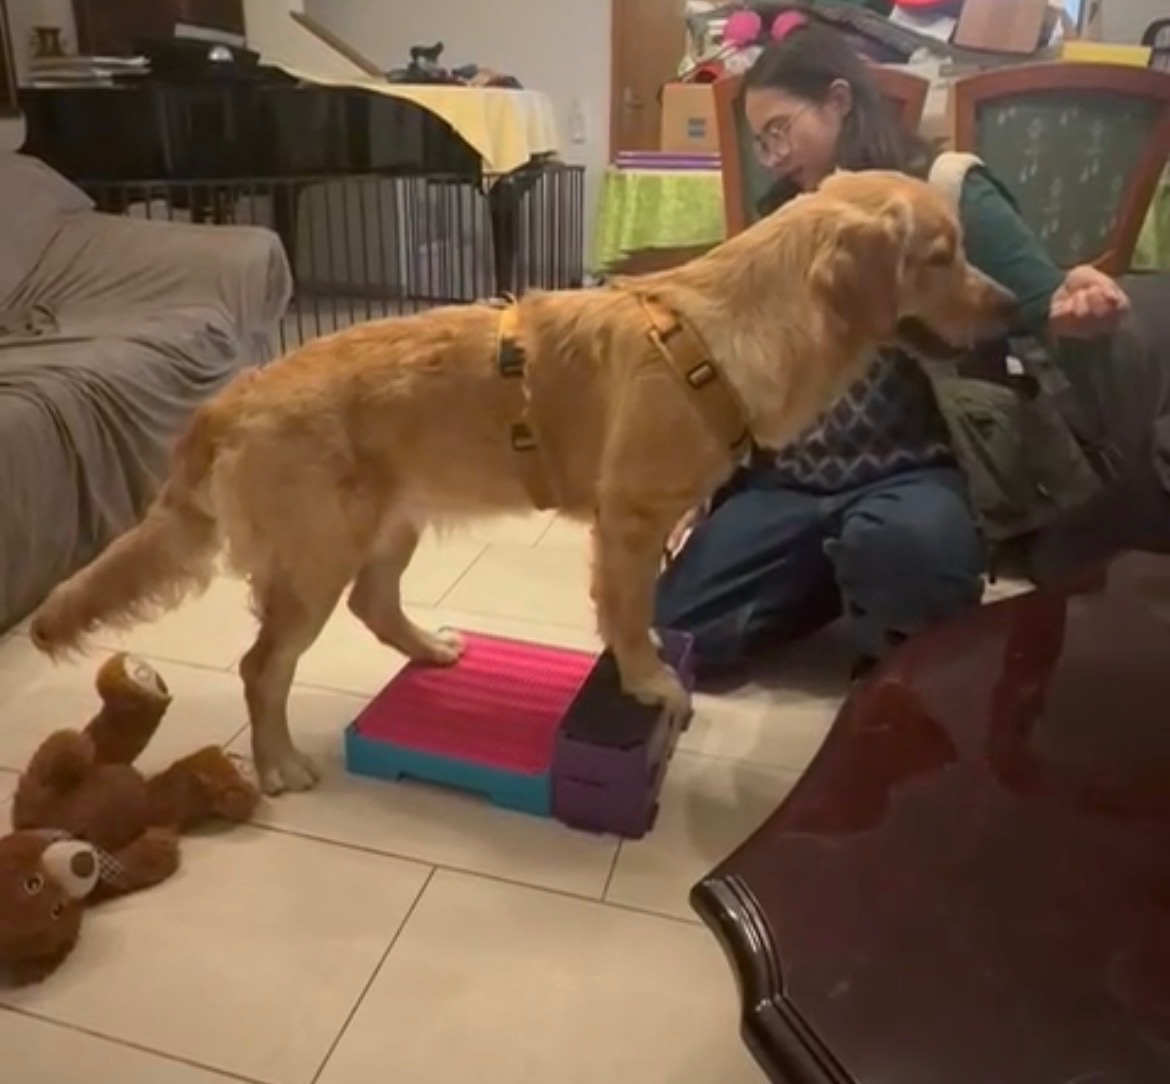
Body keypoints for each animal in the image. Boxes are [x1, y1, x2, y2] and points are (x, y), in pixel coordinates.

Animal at [29, 170, 1017, 796]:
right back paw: (275, 765)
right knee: (261, 666)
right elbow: (629, 618)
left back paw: (428, 649)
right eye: (941, 253)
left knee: (374, 608)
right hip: (316, 557)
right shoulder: (630, 519)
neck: (724, 332)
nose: (1011, 305)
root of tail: (228, 398)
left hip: (388, 525)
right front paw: (651, 684)